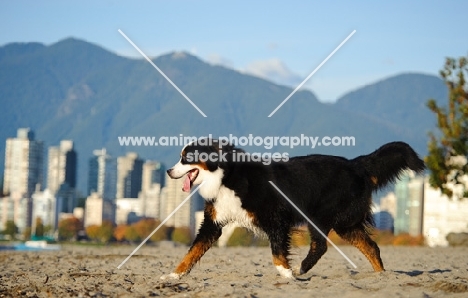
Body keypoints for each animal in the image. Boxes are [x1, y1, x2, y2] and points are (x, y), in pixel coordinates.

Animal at [161, 140, 424, 280]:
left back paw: (302, 268)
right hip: (346, 224)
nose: (168, 171)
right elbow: (191, 253)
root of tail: (355, 164)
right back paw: (383, 276)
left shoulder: (276, 219)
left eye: (186, 158)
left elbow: (277, 253)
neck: (225, 177)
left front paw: (286, 274)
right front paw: (173, 275)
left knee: (320, 246)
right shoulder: (212, 224)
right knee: (371, 247)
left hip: (320, 215)